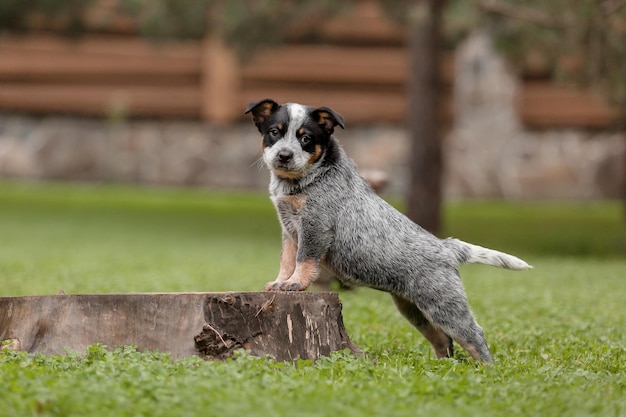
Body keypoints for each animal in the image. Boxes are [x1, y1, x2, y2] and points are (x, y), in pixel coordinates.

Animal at [244, 99, 532, 362]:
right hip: (413, 309)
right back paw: (443, 366)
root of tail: (446, 246)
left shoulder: (315, 224)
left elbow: (303, 260)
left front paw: (295, 283)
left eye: (305, 138)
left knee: (474, 334)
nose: (284, 155)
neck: (305, 180)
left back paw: (486, 368)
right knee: (443, 339)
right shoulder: (289, 228)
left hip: (443, 303)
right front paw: (281, 282)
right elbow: (286, 259)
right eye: (274, 132)